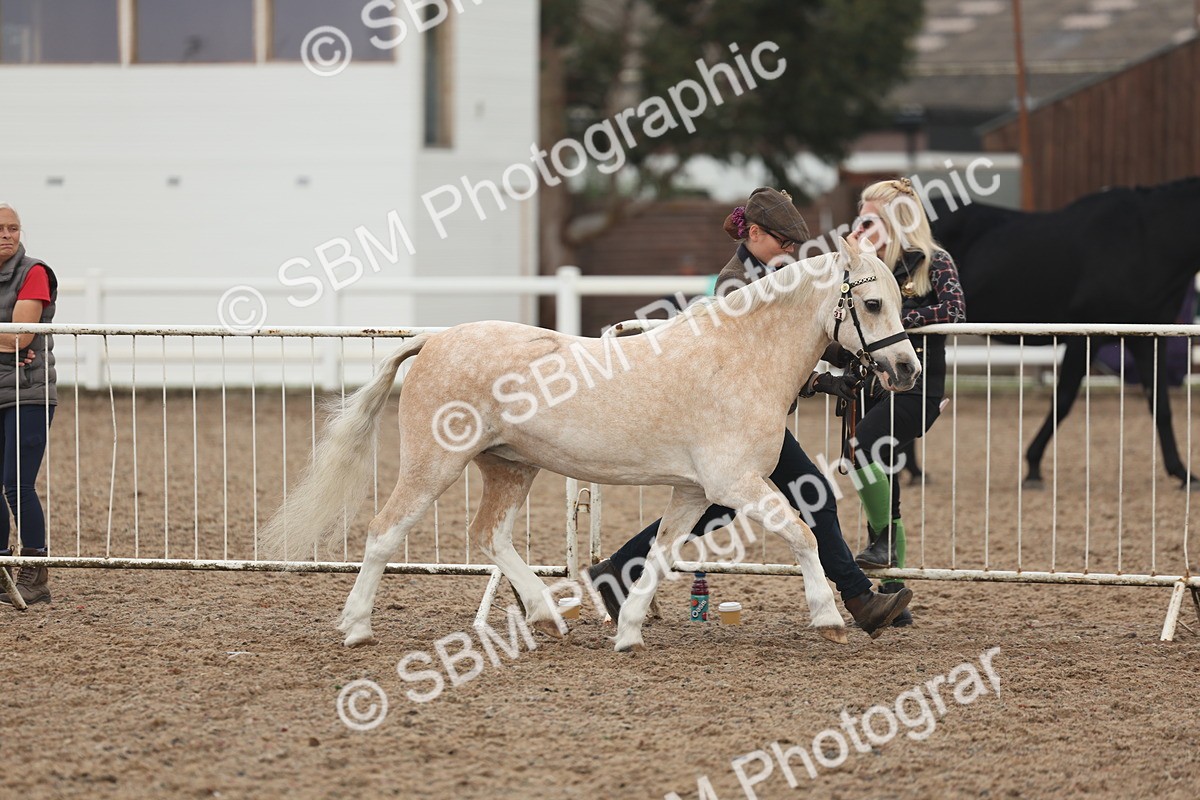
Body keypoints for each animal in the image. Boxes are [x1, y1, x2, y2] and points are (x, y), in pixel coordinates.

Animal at [260, 242, 919, 652]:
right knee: (383, 532)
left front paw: (627, 632)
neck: (738, 359)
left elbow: (660, 555)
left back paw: (547, 616)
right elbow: (805, 535)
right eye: (871, 303)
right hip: (433, 465)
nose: (907, 370)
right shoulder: (735, 485)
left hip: (510, 468)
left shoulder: (694, 491)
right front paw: (830, 619)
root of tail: (434, 341)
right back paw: (356, 627)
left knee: (489, 536)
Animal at [921, 177, 1200, 488]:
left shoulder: (1148, 339)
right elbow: (1063, 400)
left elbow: (1160, 404)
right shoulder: (1086, 336)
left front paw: (1183, 473)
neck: (1146, 239)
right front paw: (1032, 467)